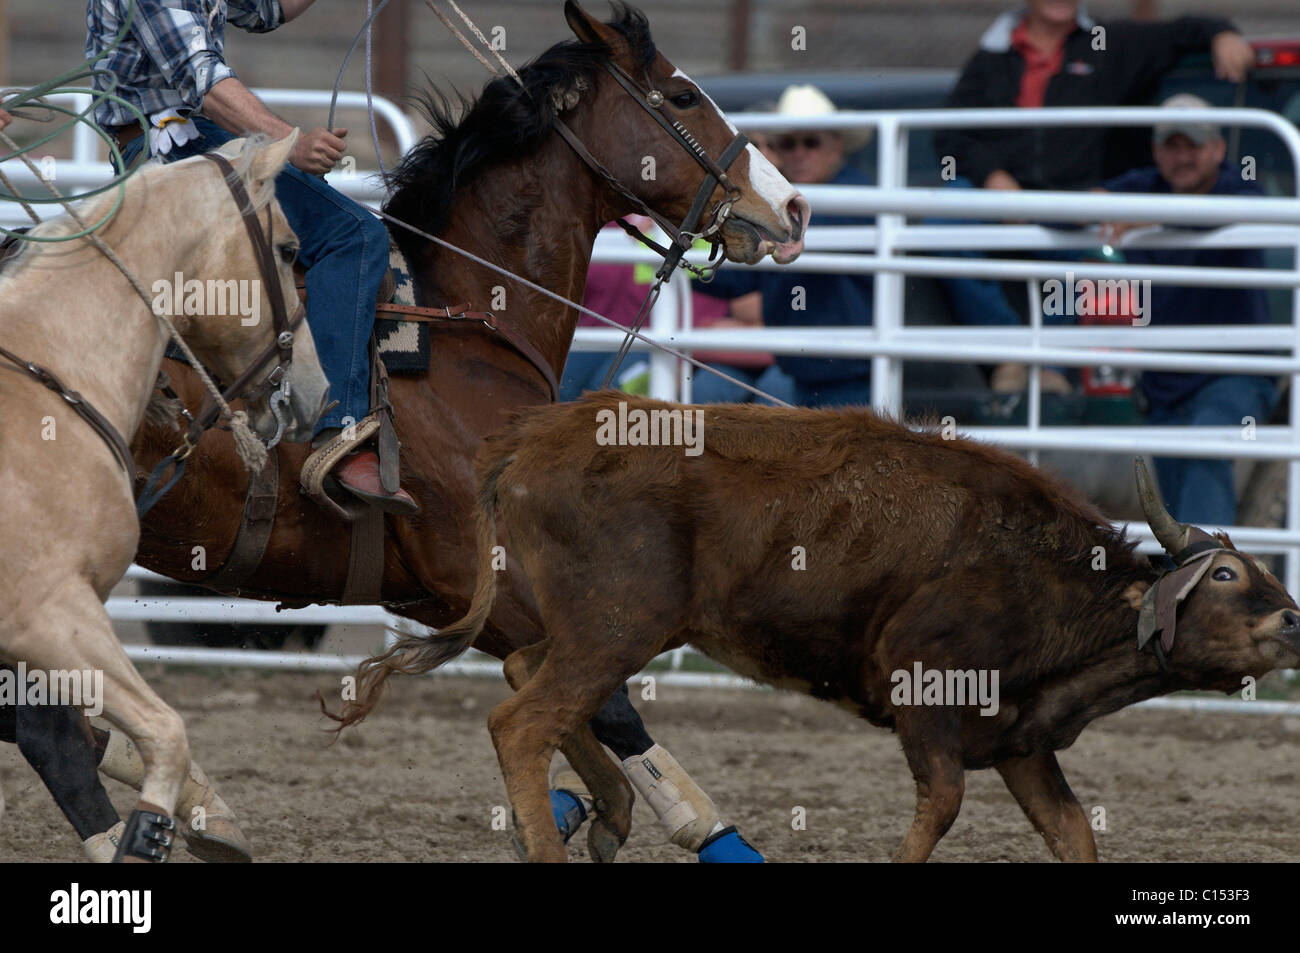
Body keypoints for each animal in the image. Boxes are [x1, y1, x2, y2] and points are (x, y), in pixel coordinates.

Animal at [68, 1, 806, 862]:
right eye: (683, 96)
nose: (794, 209)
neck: (470, 323)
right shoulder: (481, 574)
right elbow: (602, 694)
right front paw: (710, 831)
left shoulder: (443, 593)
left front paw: (580, 806)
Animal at [336, 392, 1300, 862]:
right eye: (1226, 575)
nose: (1294, 619)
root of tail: (533, 438)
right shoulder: (925, 691)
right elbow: (941, 806)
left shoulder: (1021, 738)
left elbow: (1072, 832)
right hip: (619, 624)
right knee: (522, 719)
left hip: (601, 629)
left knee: (528, 676)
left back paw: (609, 809)